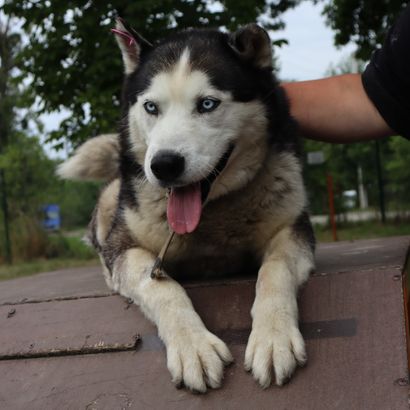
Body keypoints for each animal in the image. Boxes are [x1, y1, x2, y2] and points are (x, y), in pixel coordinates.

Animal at [58, 19, 315, 393]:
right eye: (151, 107)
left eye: (207, 104)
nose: (164, 165)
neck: (212, 218)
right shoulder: (126, 247)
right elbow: (161, 286)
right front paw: (193, 346)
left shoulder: (292, 227)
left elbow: (275, 268)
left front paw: (273, 338)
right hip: (111, 202)